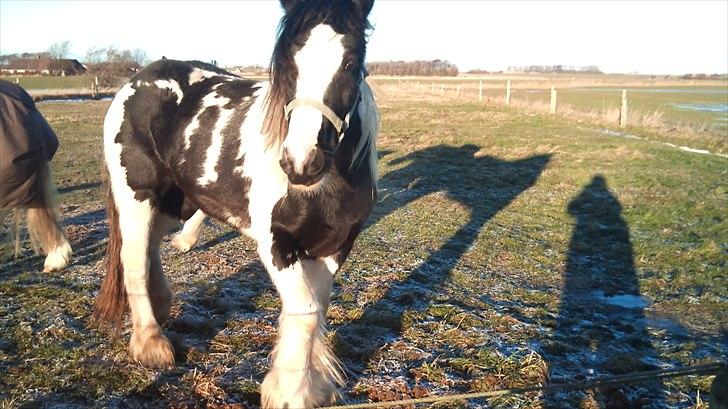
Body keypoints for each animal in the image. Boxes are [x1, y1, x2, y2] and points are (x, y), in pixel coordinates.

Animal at [94, 1, 378, 406]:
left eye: (351, 62)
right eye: (287, 62)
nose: (301, 161)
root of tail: (136, 80)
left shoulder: (335, 245)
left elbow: (317, 307)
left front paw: (312, 385)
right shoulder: (276, 242)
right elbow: (305, 311)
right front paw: (289, 393)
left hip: (175, 201)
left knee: (151, 246)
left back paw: (162, 305)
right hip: (137, 196)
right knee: (132, 258)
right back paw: (150, 343)